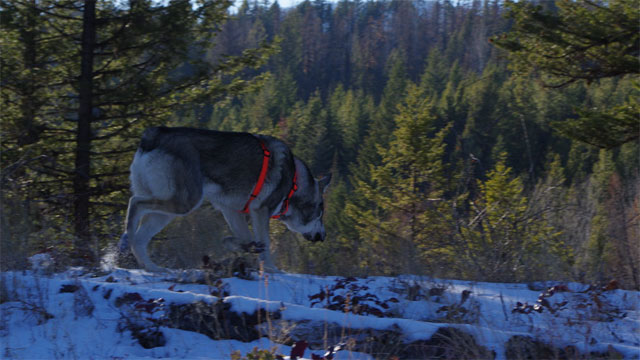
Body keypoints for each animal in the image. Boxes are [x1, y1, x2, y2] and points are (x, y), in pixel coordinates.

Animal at [117, 127, 332, 272]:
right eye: (321, 212)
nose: (323, 236)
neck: (294, 182)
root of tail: (153, 135)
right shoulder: (260, 211)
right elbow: (266, 243)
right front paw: (271, 269)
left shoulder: (232, 211)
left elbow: (242, 239)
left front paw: (245, 246)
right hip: (185, 203)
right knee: (135, 203)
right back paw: (127, 238)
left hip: (168, 213)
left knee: (141, 237)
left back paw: (149, 265)